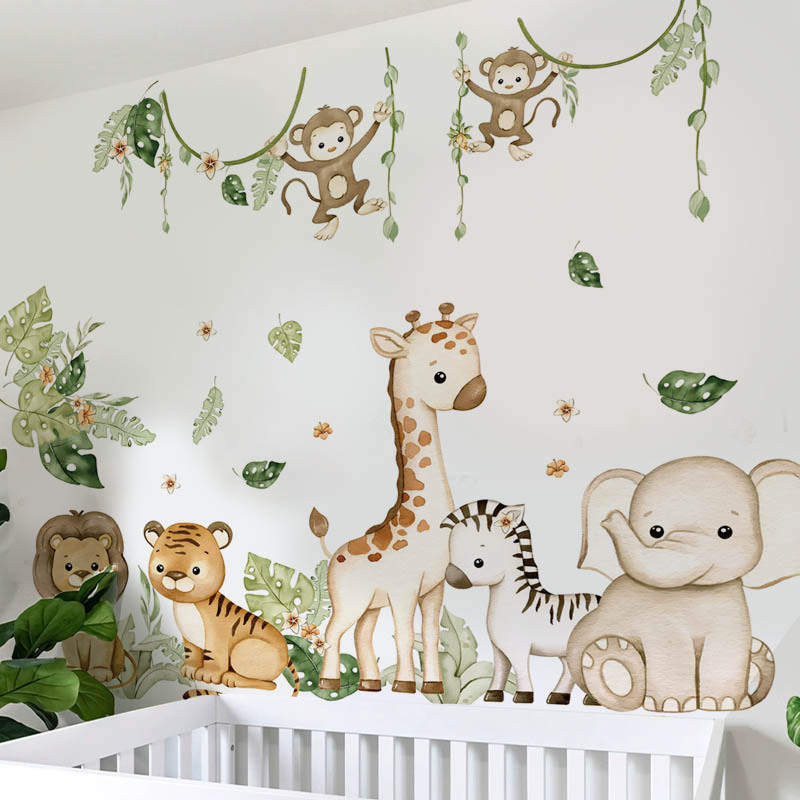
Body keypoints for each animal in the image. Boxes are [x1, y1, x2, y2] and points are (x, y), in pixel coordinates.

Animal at [311, 303, 486, 694]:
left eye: (476, 361)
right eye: (439, 375)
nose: (477, 392)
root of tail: (333, 555)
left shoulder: (434, 589)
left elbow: (430, 634)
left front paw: (433, 686)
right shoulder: (404, 588)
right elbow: (404, 634)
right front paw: (406, 685)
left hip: (369, 604)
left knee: (361, 634)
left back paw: (370, 683)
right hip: (349, 599)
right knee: (333, 632)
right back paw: (329, 681)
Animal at [443, 499, 602, 705]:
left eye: (478, 562)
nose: (451, 577)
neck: (515, 602)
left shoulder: (518, 646)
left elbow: (520, 669)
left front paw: (523, 696)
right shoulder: (499, 648)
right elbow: (500, 670)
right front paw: (493, 695)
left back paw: (592, 700)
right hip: (566, 651)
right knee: (570, 670)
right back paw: (559, 697)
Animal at [566, 456, 800, 713]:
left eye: (725, 531)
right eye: (655, 531)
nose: (610, 518)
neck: (694, 589)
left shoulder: (733, 607)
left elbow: (728, 645)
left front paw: (724, 705)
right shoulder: (656, 615)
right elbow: (671, 647)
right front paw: (672, 706)